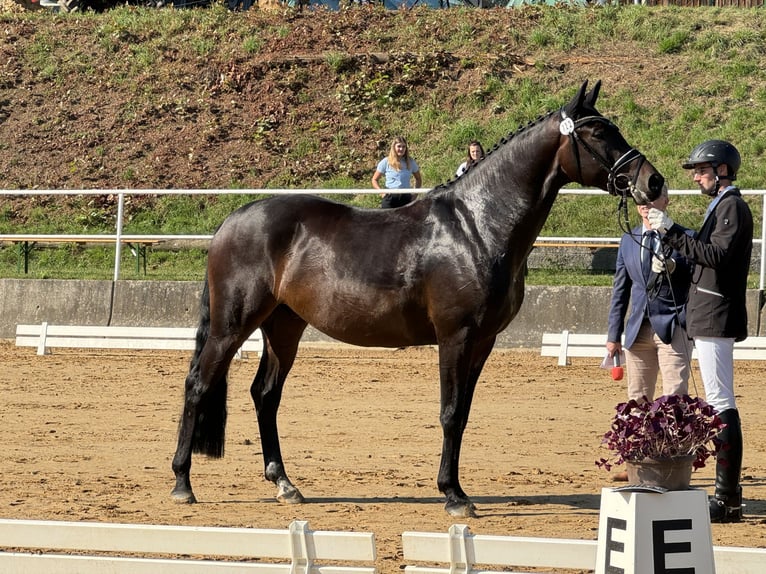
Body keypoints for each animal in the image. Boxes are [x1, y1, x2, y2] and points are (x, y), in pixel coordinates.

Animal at [172, 80, 664, 516]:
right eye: (597, 133)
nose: (654, 182)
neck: (477, 226)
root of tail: (232, 220)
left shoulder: (482, 343)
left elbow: (463, 414)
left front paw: (456, 489)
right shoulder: (455, 337)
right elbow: (449, 413)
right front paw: (454, 496)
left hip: (284, 326)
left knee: (265, 394)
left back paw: (284, 484)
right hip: (233, 325)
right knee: (197, 385)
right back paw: (182, 484)